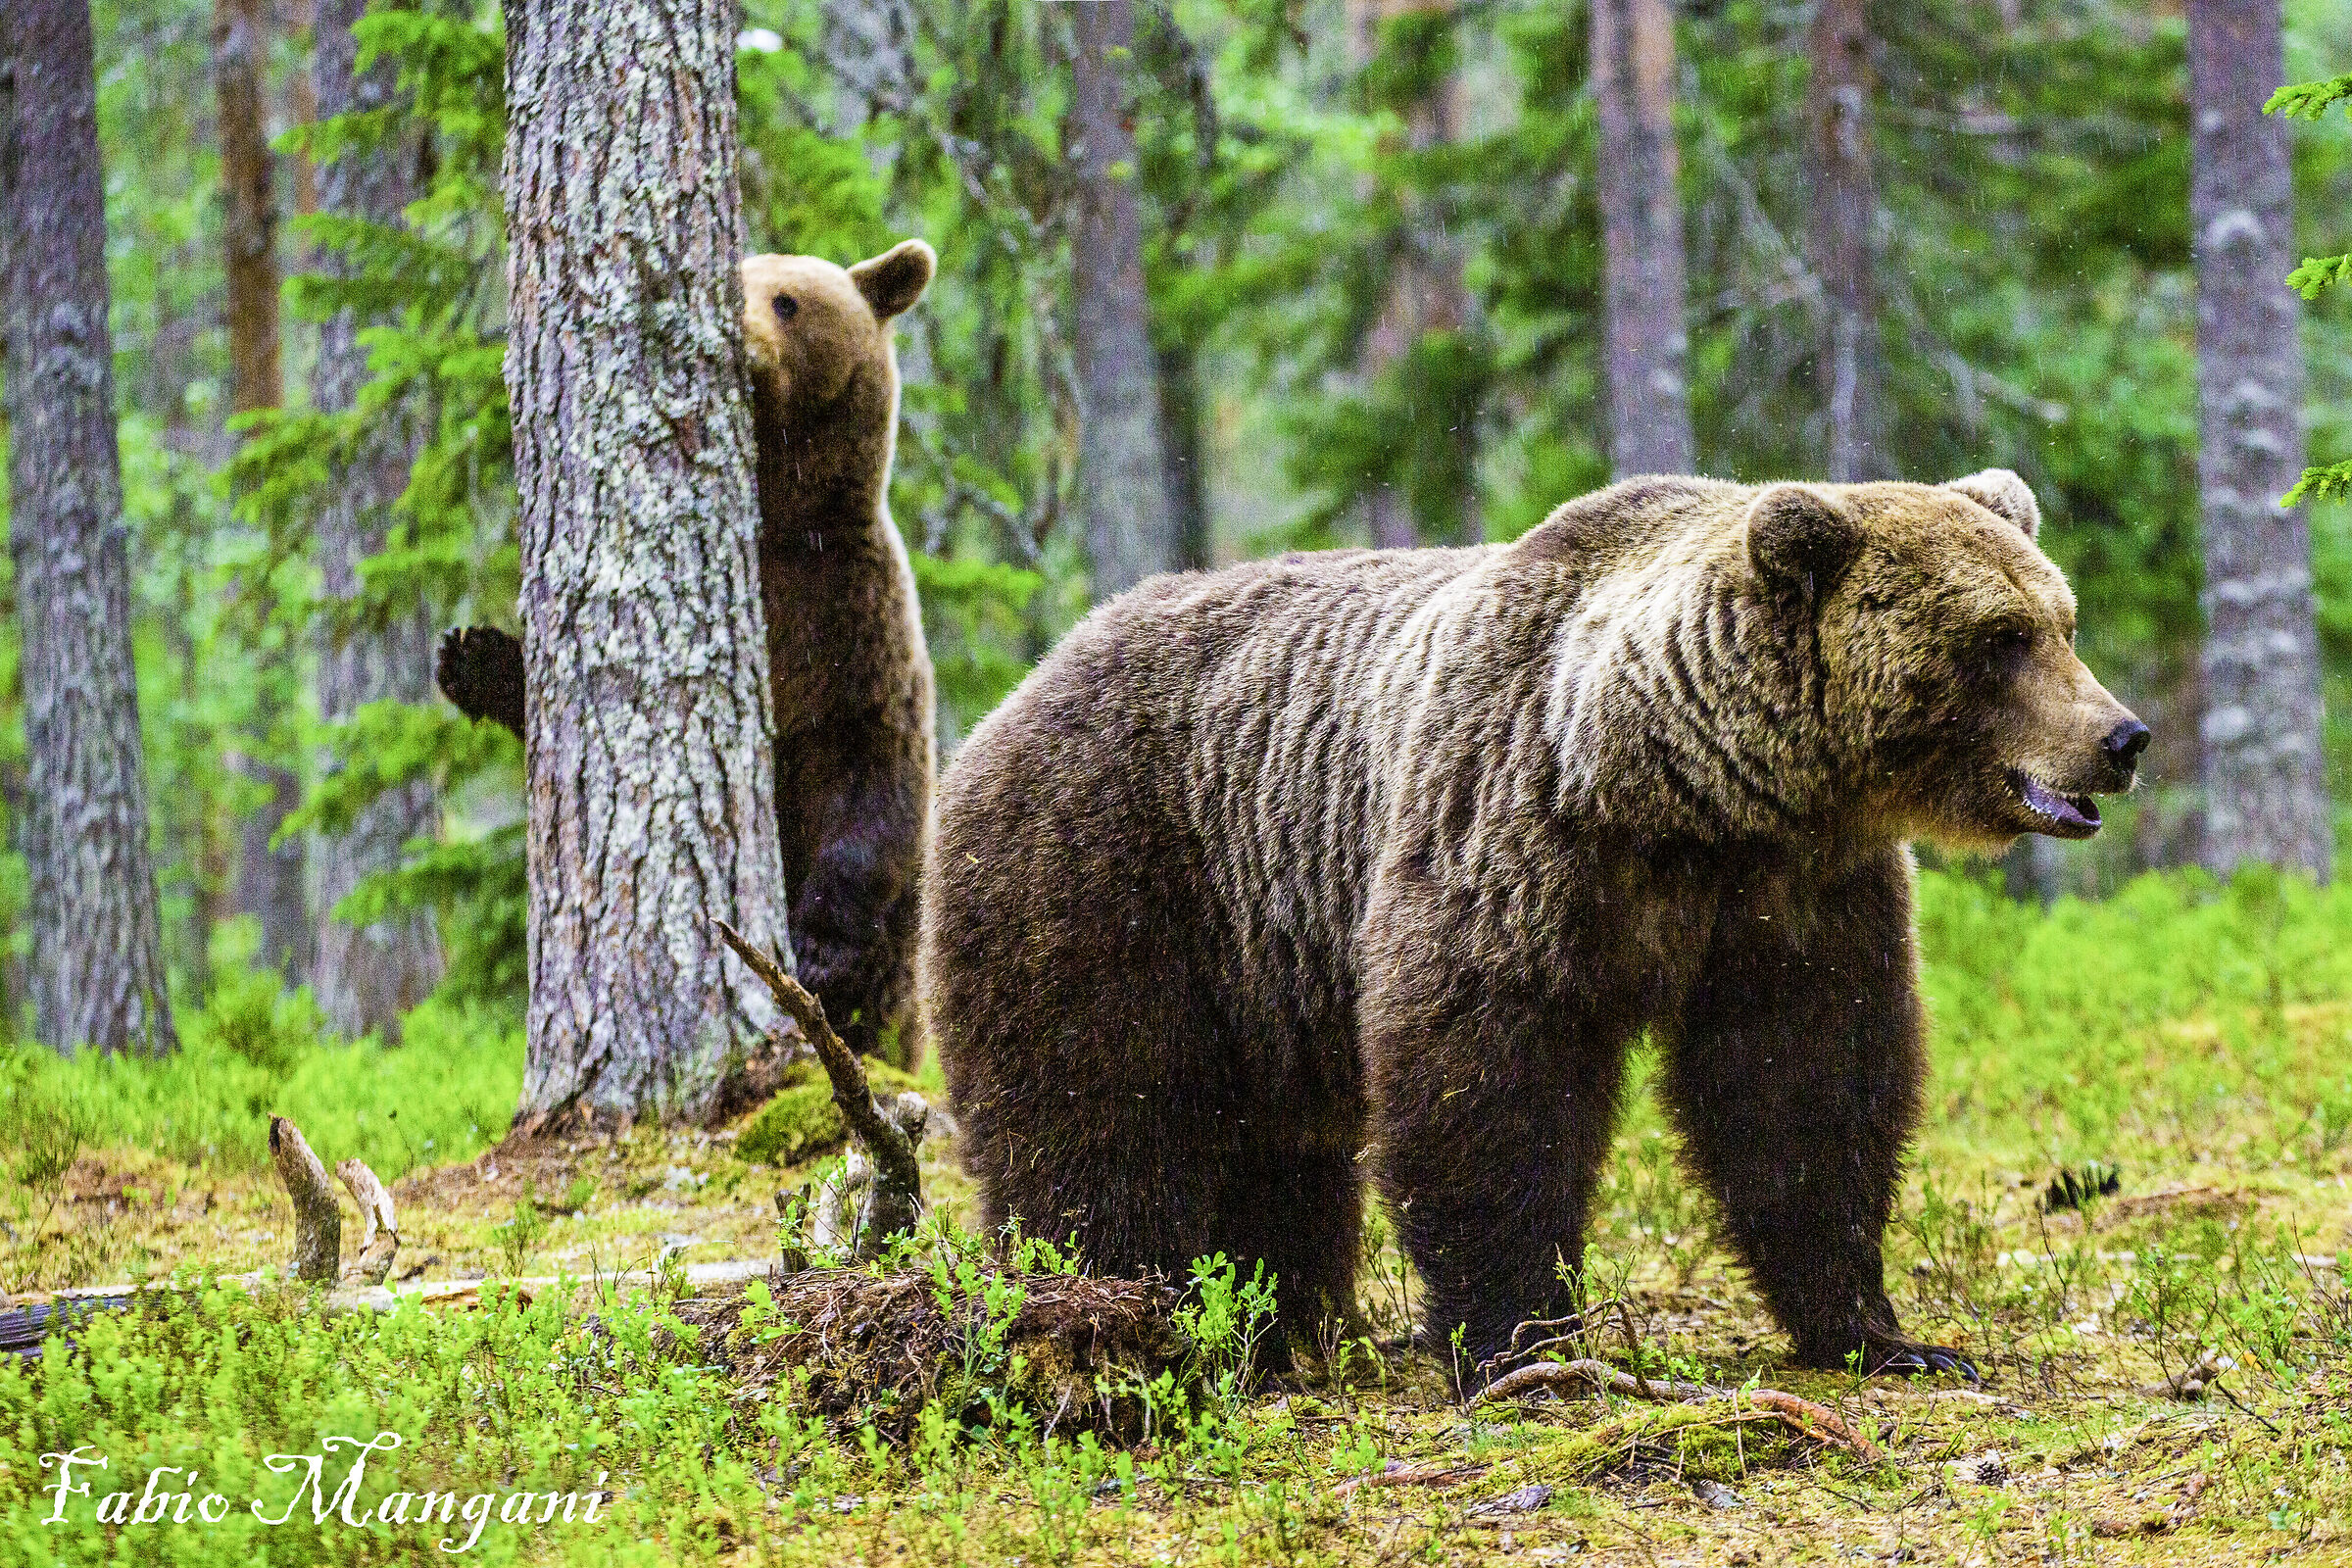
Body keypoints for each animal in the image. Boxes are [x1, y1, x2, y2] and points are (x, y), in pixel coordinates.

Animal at [439, 240, 938, 1064]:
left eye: (788, 301)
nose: (740, 341)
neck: (780, 525)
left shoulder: (855, 625)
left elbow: (871, 777)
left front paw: (818, 946)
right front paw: (473, 657)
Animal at [923, 471, 2148, 1374]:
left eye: (2062, 619)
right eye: (1999, 637)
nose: (2121, 736)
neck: (1688, 787)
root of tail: (1011, 696)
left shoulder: (1794, 895)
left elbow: (1807, 1089)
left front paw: (1883, 1332)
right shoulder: (1515, 835)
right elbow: (1487, 1081)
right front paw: (1517, 1333)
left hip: (1264, 971)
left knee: (1274, 1153)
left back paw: (1271, 1325)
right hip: (1109, 868)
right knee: (1099, 1111)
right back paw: (1117, 1311)